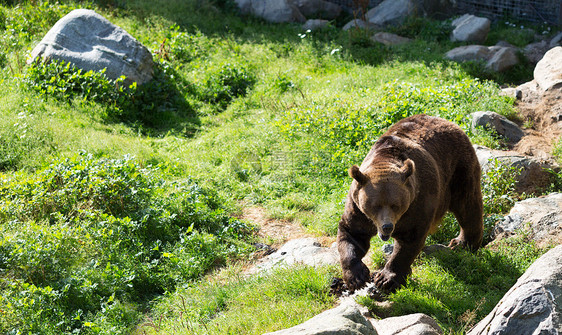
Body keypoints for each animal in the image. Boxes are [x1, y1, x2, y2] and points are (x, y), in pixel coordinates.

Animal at [336, 114, 482, 292]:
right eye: (375, 206)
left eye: (395, 205)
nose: (387, 227)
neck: (384, 160)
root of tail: (448, 122)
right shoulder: (358, 208)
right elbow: (352, 233)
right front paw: (357, 277)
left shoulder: (417, 202)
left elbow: (409, 240)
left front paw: (386, 279)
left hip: (458, 169)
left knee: (467, 205)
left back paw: (463, 243)